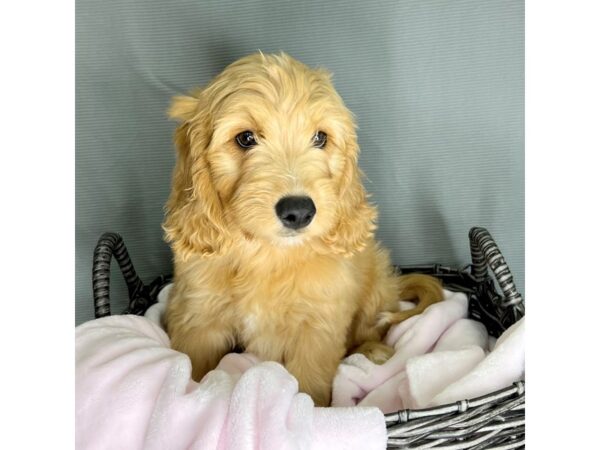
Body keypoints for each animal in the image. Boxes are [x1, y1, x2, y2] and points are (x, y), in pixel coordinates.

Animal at [162, 53, 442, 408]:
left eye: (320, 138)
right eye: (245, 138)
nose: (298, 211)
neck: (267, 253)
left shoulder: (317, 328)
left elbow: (309, 383)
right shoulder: (199, 316)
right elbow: (192, 363)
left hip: (375, 278)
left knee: (370, 328)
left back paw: (372, 351)